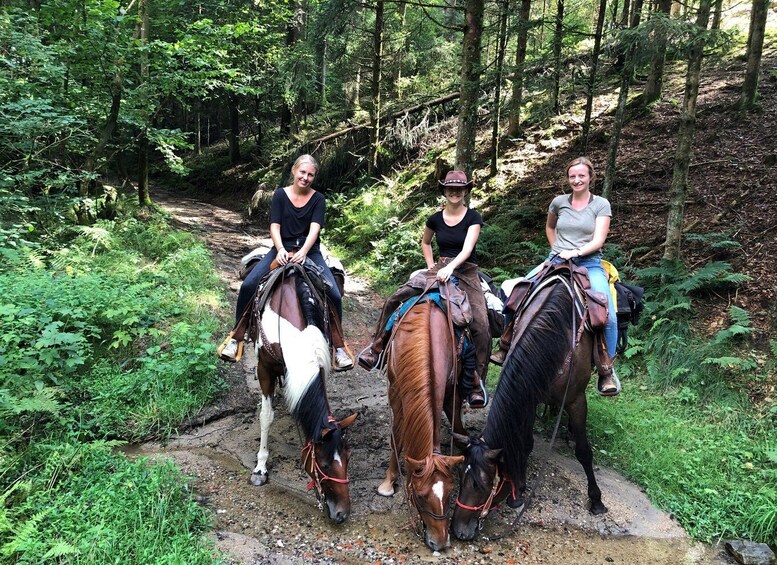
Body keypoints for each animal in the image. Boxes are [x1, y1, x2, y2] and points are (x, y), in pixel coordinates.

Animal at [249, 266, 358, 524]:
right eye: (324, 465)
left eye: (348, 458)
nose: (342, 514)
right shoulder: (264, 369)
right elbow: (266, 417)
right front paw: (260, 467)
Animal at [378, 300, 466, 552]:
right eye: (419, 495)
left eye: (450, 494)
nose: (441, 542)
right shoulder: (395, 392)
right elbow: (396, 437)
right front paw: (388, 482)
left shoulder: (449, 385)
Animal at [452, 276, 608, 540]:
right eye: (461, 476)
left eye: (482, 485)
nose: (458, 531)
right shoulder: (530, 396)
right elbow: (525, 443)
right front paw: (519, 491)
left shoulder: (576, 400)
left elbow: (584, 452)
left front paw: (596, 501)